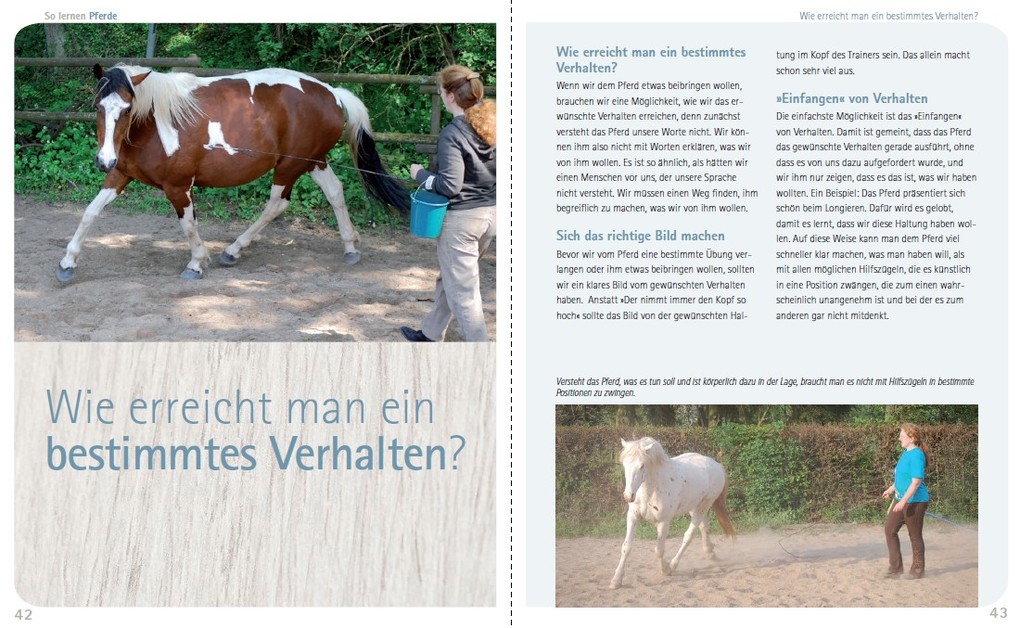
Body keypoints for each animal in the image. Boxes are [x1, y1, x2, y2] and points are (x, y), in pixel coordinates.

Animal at [56, 64, 410, 281]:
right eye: (99, 107)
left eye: (127, 108)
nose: (103, 160)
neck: (155, 124)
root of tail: (333, 92)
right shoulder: (120, 176)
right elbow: (90, 212)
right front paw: (67, 263)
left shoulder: (178, 185)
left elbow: (188, 225)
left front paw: (197, 263)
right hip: (313, 160)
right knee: (335, 191)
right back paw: (350, 246)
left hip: (290, 165)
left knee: (277, 204)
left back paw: (233, 250)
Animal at [609, 437, 735, 589]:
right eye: (624, 464)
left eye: (642, 466)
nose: (629, 496)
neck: (651, 490)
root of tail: (717, 465)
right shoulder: (633, 517)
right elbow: (626, 547)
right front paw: (616, 580)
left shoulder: (663, 522)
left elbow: (659, 550)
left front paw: (665, 570)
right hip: (694, 506)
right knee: (704, 527)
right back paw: (710, 553)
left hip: (704, 505)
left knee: (689, 536)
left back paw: (674, 565)